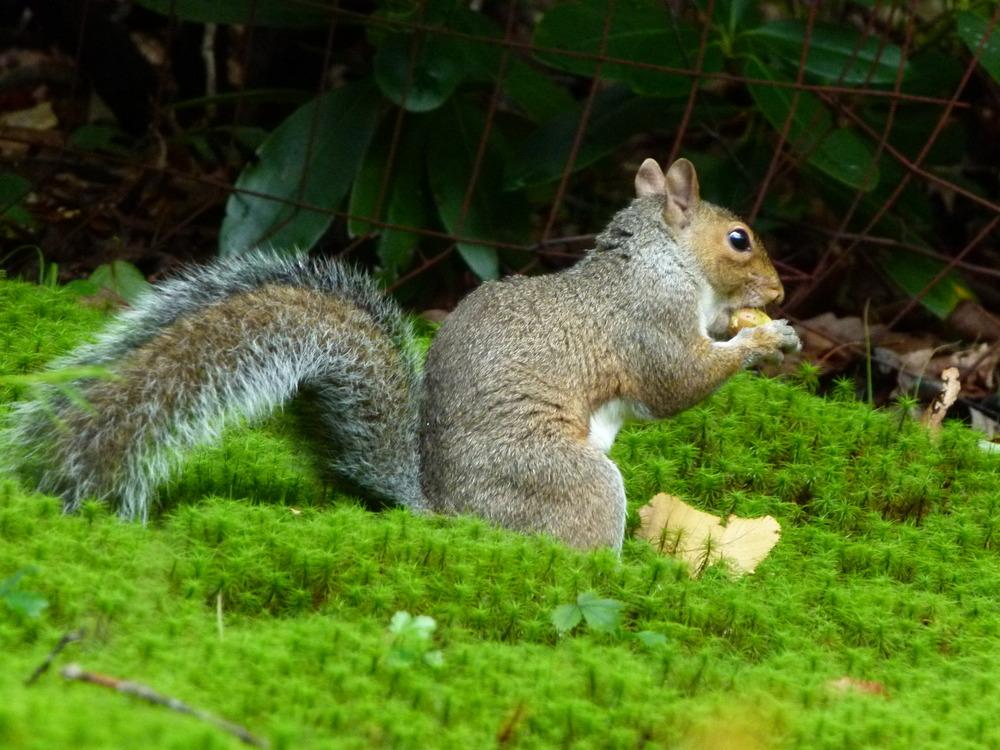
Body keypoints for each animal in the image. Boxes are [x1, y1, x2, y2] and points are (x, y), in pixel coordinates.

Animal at [0, 159, 796, 548]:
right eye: (739, 239)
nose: (781, 291)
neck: (659, 260)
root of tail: (444, 513)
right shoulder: (646, 322)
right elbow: (676, 383)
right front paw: (762, 338)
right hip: (567, 481)